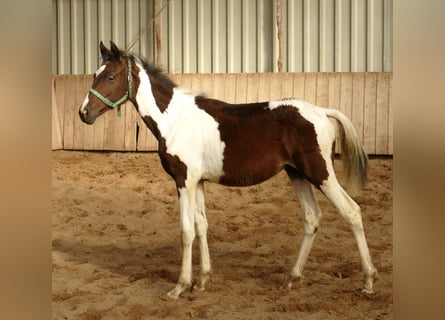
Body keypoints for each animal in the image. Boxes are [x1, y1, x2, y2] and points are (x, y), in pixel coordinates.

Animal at [79, 41, 374, 298]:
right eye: (95, 74)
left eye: (111, 77)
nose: (84, 113)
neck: (175, 119)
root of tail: (323, 112)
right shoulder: (198, 182)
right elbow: (201, 225)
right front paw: (201, 281)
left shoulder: (183, 181)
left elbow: (186, 231)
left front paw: (179, 287)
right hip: (297, 174)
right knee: (312, 218)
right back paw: (291, 279)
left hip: (320, 174)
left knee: (351, 211)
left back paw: (369, 281)